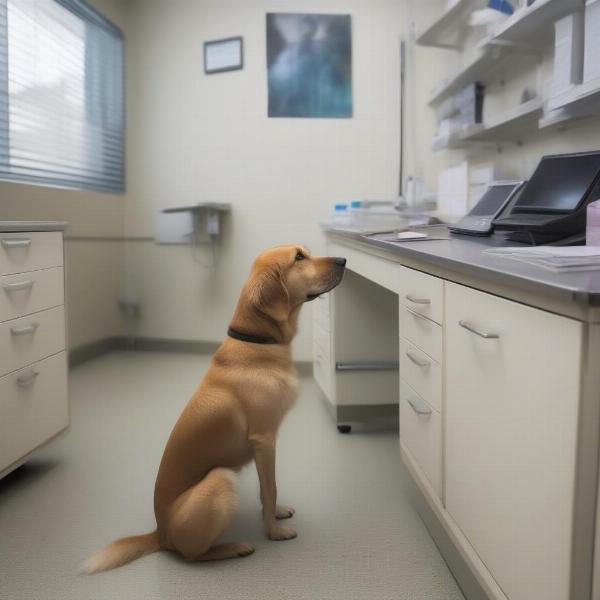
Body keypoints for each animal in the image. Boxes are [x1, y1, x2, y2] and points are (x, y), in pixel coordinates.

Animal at [83, 243, 346, 572]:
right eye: (299, 257)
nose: (344, 260)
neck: (258, 341)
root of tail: (160, 533)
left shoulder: (263, 447)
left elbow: (266, 490)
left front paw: (274, 514)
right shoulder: (264, 440)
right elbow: (271, 488)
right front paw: (273, 532)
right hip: (221, 478)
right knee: (192, 555)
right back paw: (233, 547)